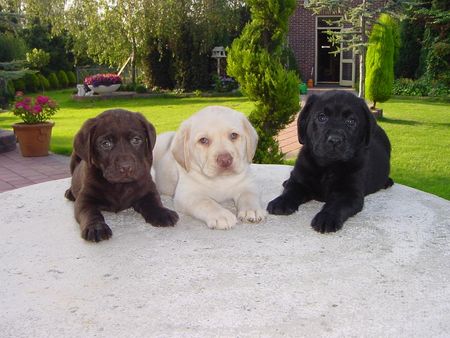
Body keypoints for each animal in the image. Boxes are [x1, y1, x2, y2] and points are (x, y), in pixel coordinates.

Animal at [268, 91, 392, 234]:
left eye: (351, 121)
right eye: (322, 117)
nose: (335, 140)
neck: (329, 167)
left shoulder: (349, 193)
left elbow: (336, 205)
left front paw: (326, 218)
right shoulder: (299, 179)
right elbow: (290, 190)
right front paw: (281, 202)